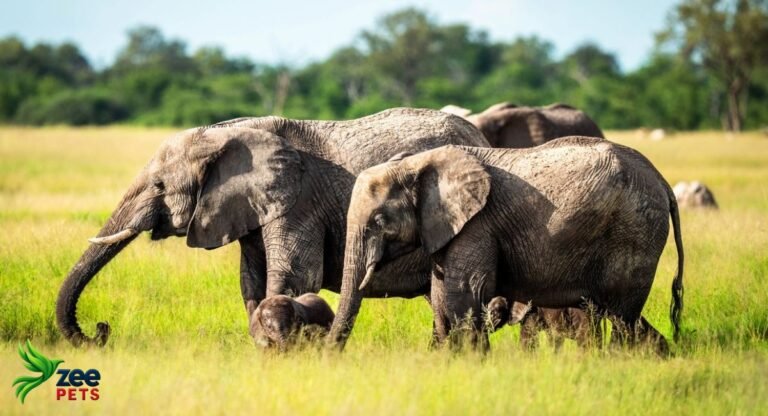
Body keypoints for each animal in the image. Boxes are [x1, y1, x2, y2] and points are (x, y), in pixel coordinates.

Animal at [56, 108, 489, 347]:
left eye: (160, 186)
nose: (101, 329)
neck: (225, 134)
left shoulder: (297, 198)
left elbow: (295, 274)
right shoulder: (250, 208)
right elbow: (251, 281)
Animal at [329, 137, 684, 352]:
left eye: (378, 221)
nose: (327, 357)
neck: (420, 163)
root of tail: (663, 181)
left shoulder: (477, 224)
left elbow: (461, 293)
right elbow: (442, 294)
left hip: (635, 230)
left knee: (622, 314)